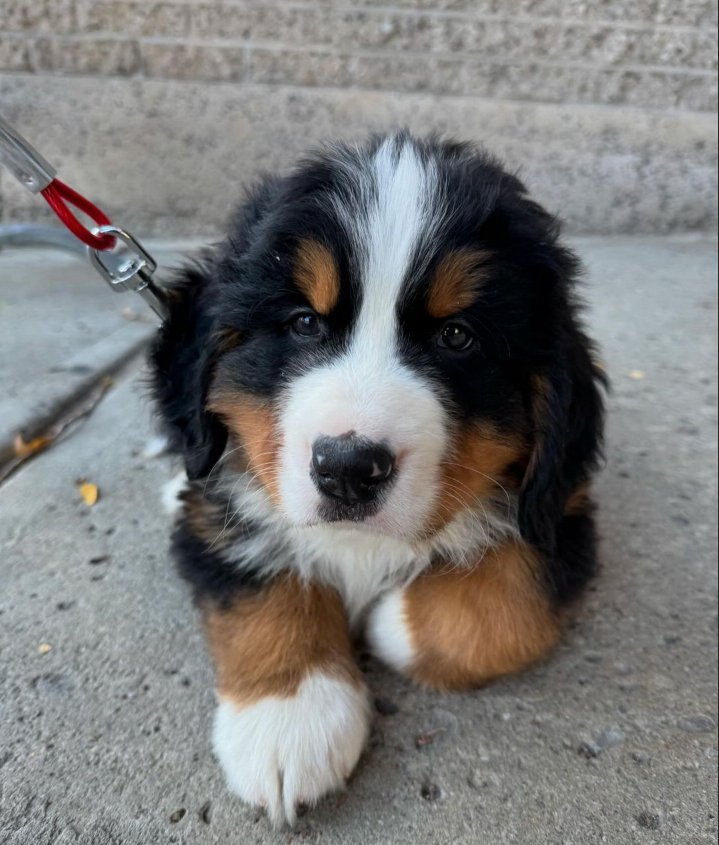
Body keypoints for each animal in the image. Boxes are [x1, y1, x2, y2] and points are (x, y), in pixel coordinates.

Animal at [152, 132, 608, 824]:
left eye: (457, 336)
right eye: (304, 323)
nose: (347, 468)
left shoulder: (560, 509)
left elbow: (505, 603)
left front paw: (387, 622)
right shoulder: (219, 507)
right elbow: (261, 579)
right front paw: (288, 719)